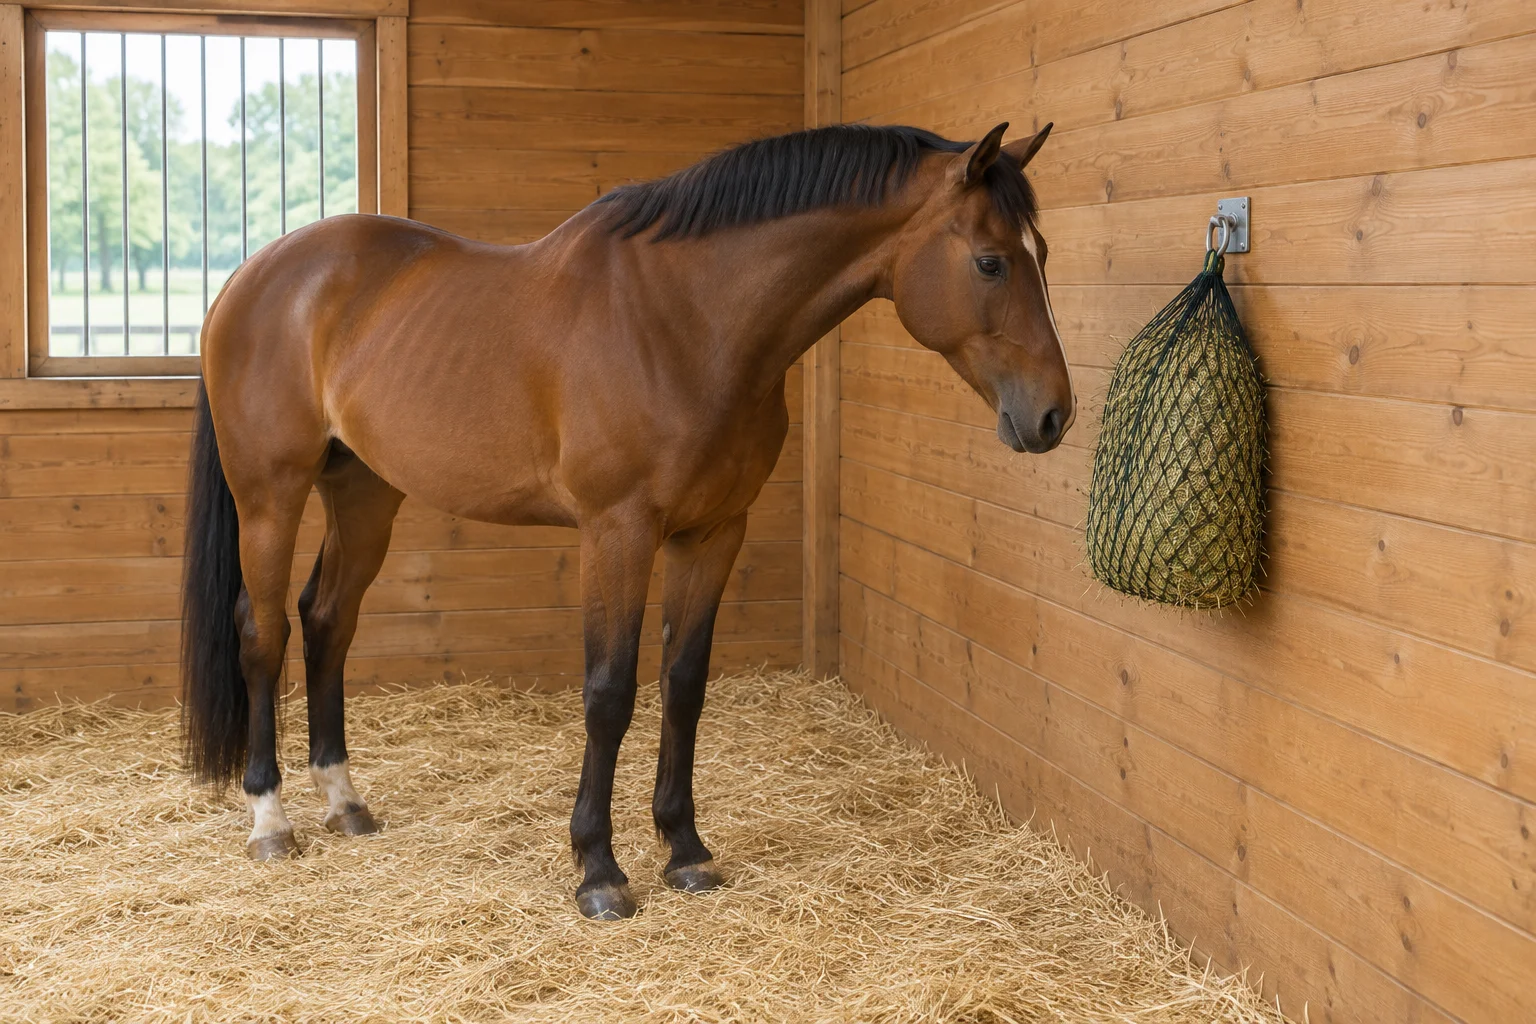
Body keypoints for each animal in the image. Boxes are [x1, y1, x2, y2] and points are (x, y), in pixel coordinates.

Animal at [180, 121, 1074, 920]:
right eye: (991, 261)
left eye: (1043, 255)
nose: (1053, 415)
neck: (687, 322)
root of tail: (250, 277)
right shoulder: (617, 533)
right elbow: (609, 692)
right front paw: (599, 870)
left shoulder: (714, 533)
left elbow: (683, 684)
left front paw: (685, 849)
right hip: (271, 495)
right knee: (263, 632)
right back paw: (271, 819)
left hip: (366, 492)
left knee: (328, 619)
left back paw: (344, 801)